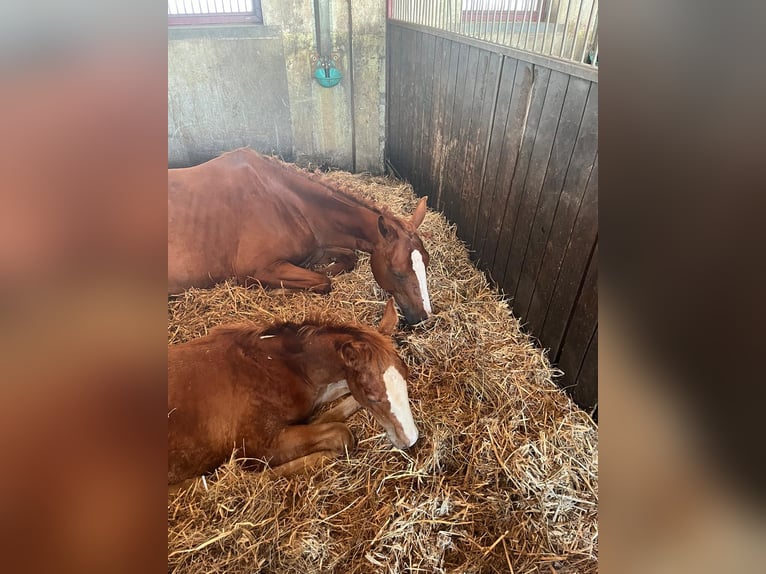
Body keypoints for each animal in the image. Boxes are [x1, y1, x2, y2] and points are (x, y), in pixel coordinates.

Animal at [168, 148, 432, 326]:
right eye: (397, 272)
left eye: (426, 264)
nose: (423, 316)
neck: (284, 202)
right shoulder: (258, 269)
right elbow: (323, 281)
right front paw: (278, 290)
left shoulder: (315, 248)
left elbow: (347, 259)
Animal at [169, 300, 420, 488]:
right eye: (371, 395)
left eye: (406, 375)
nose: (410, 439)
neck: (274, 366)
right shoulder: (258, 446)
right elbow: (342, 435)